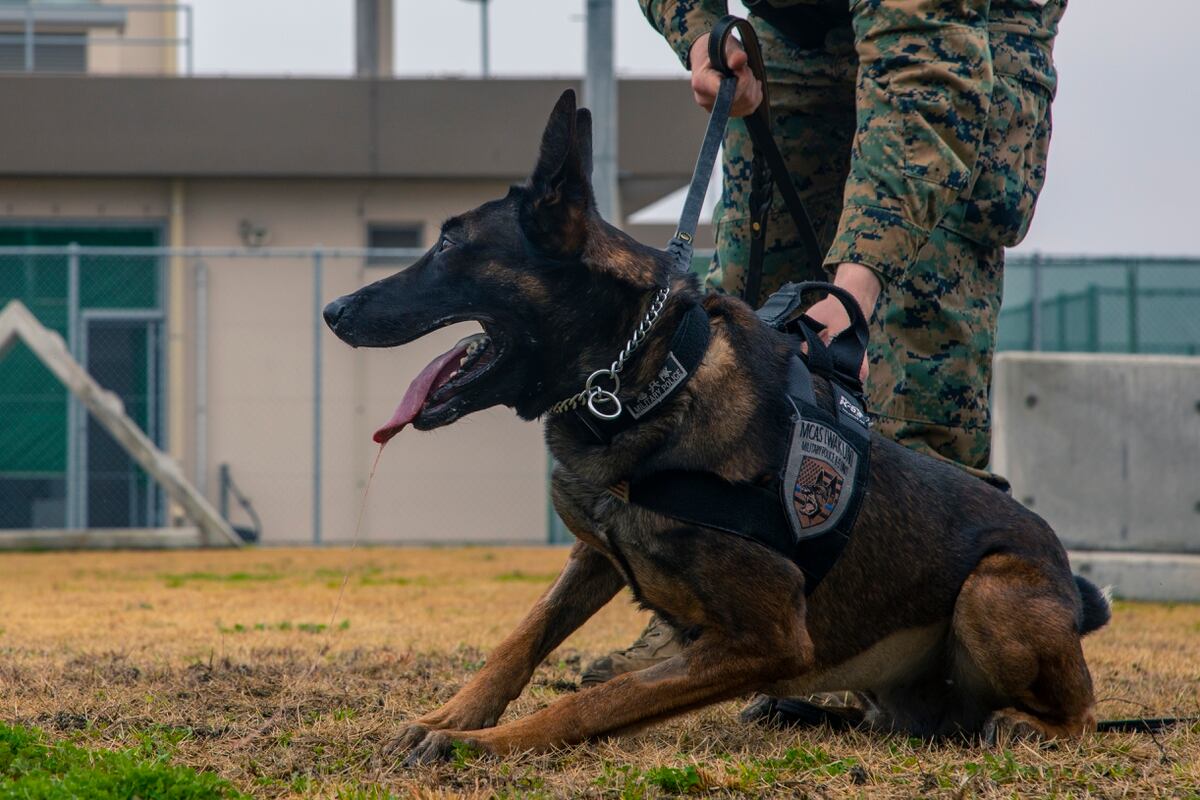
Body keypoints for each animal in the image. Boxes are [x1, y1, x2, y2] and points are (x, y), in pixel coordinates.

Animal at [324, 90, 1108, 767]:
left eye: (449, 245)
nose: (333, 310)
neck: (640, 385)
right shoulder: (596, 555)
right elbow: (523, 637)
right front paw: (452, 716)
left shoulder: (771, 638)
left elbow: (601, 699)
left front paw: (479, 744)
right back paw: (816, 714)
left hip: (990, 590)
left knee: (1077, 714)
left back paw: (1023, 725)